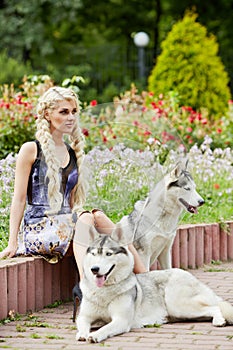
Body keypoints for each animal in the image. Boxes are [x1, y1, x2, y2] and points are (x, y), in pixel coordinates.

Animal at [75, 226, 232, 344]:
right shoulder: (84, 316)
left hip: (179, 306)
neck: (104, 291)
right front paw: (82, 334)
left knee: (215, 307)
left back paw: (219, 320)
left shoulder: (121, 320)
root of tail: (189, 275)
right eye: (94, 254)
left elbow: (105, 328)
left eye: (108, 254)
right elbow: (82, 324)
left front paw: (95, 335)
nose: (94, 269)